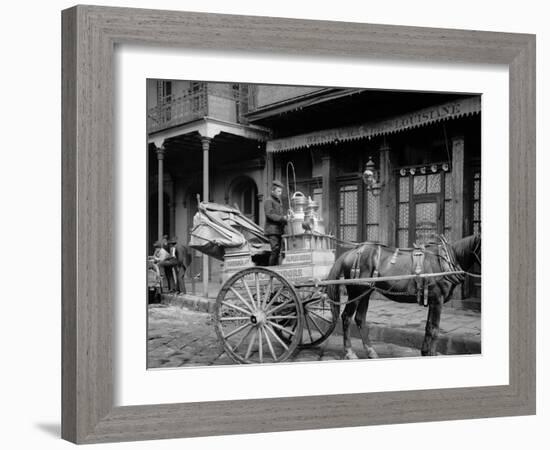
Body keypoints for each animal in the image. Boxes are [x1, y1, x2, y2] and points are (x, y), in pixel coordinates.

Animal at [328, 236, 484, 358]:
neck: (446, 261)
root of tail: (352, 251)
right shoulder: (437, 300)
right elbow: (434, 329)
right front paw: (431, 353)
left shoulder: (432, 300)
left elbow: (428, 327)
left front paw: (425, 352)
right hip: (356, 291)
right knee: (346, 317)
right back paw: (349, 352)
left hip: (366, 292)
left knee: (360, 319)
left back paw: (371, 352)